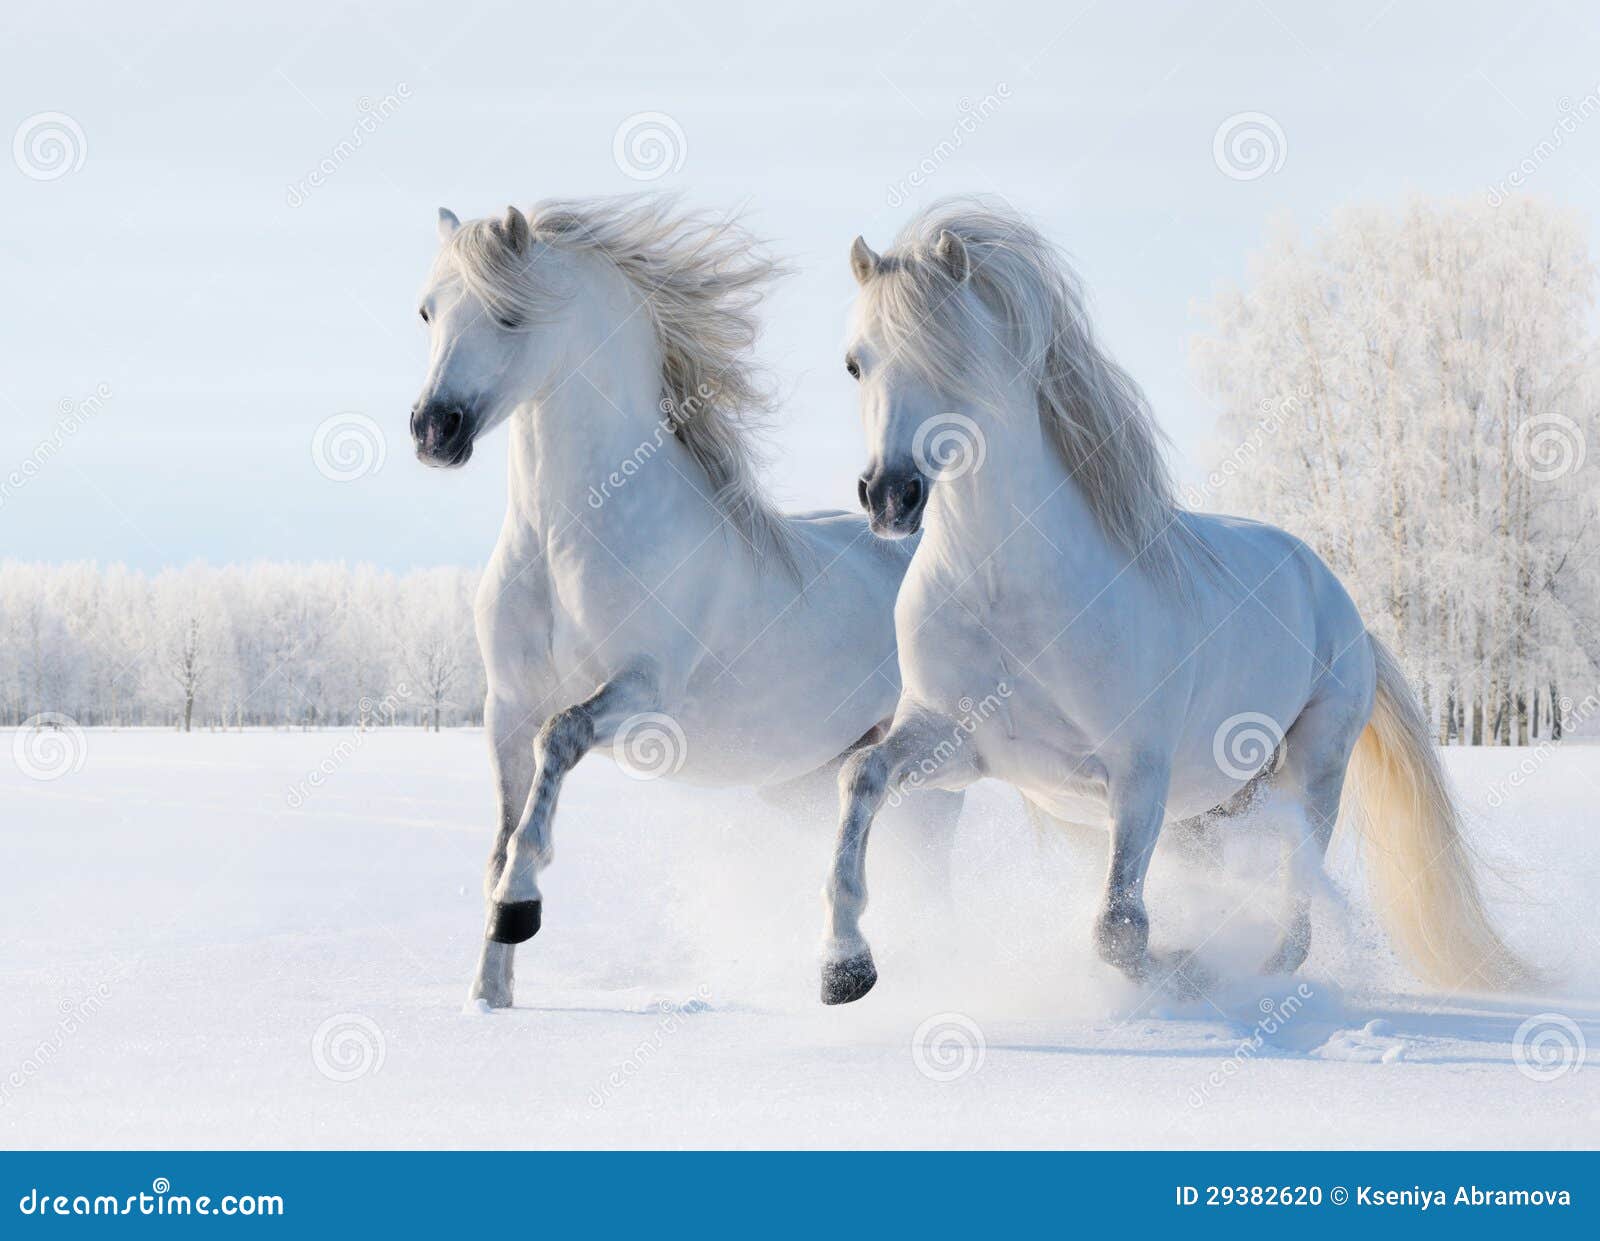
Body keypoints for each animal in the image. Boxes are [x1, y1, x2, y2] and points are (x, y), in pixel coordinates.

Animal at [412, 196, 960, 1010]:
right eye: (427, 310)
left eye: (510, 315)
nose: (433, 430)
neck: (565, 535)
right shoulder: (503, 707)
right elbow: (501, 837)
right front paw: (489, 995)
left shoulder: (642, 695)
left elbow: (558, 743)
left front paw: (519, 909)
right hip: (807, 779)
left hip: (933, 770)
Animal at [819, 199, 1529, 1004]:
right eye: (856, 362)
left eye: (953, 357)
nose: (890, 496)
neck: (1009, 592)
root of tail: (1345, 608)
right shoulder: (956, 744)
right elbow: (860, 778)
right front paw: (844, 967)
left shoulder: (1139, 776)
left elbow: (1120, 930)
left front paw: (1185, 973)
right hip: (1211, 810)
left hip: (1310, 774)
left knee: (1297, 907)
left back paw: (1254, 976)